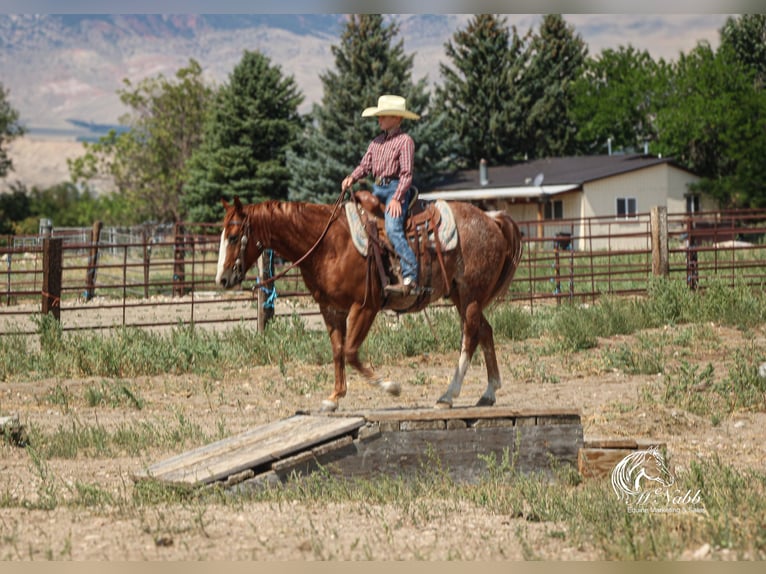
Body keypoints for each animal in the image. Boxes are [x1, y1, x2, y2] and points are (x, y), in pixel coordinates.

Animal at [215, 194, 523, 412]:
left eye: (233, 236)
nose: (222, 279)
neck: (327, 244)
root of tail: (491, 219)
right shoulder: (331, 309)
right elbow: (338, 351)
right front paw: (334, 398)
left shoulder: (365, 307)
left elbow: (351, 352)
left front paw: (390, 386)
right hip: (462, 296)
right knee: (485, 331)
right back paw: (488, 392)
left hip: (471, 295)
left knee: (469, 337)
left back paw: (448, 395)